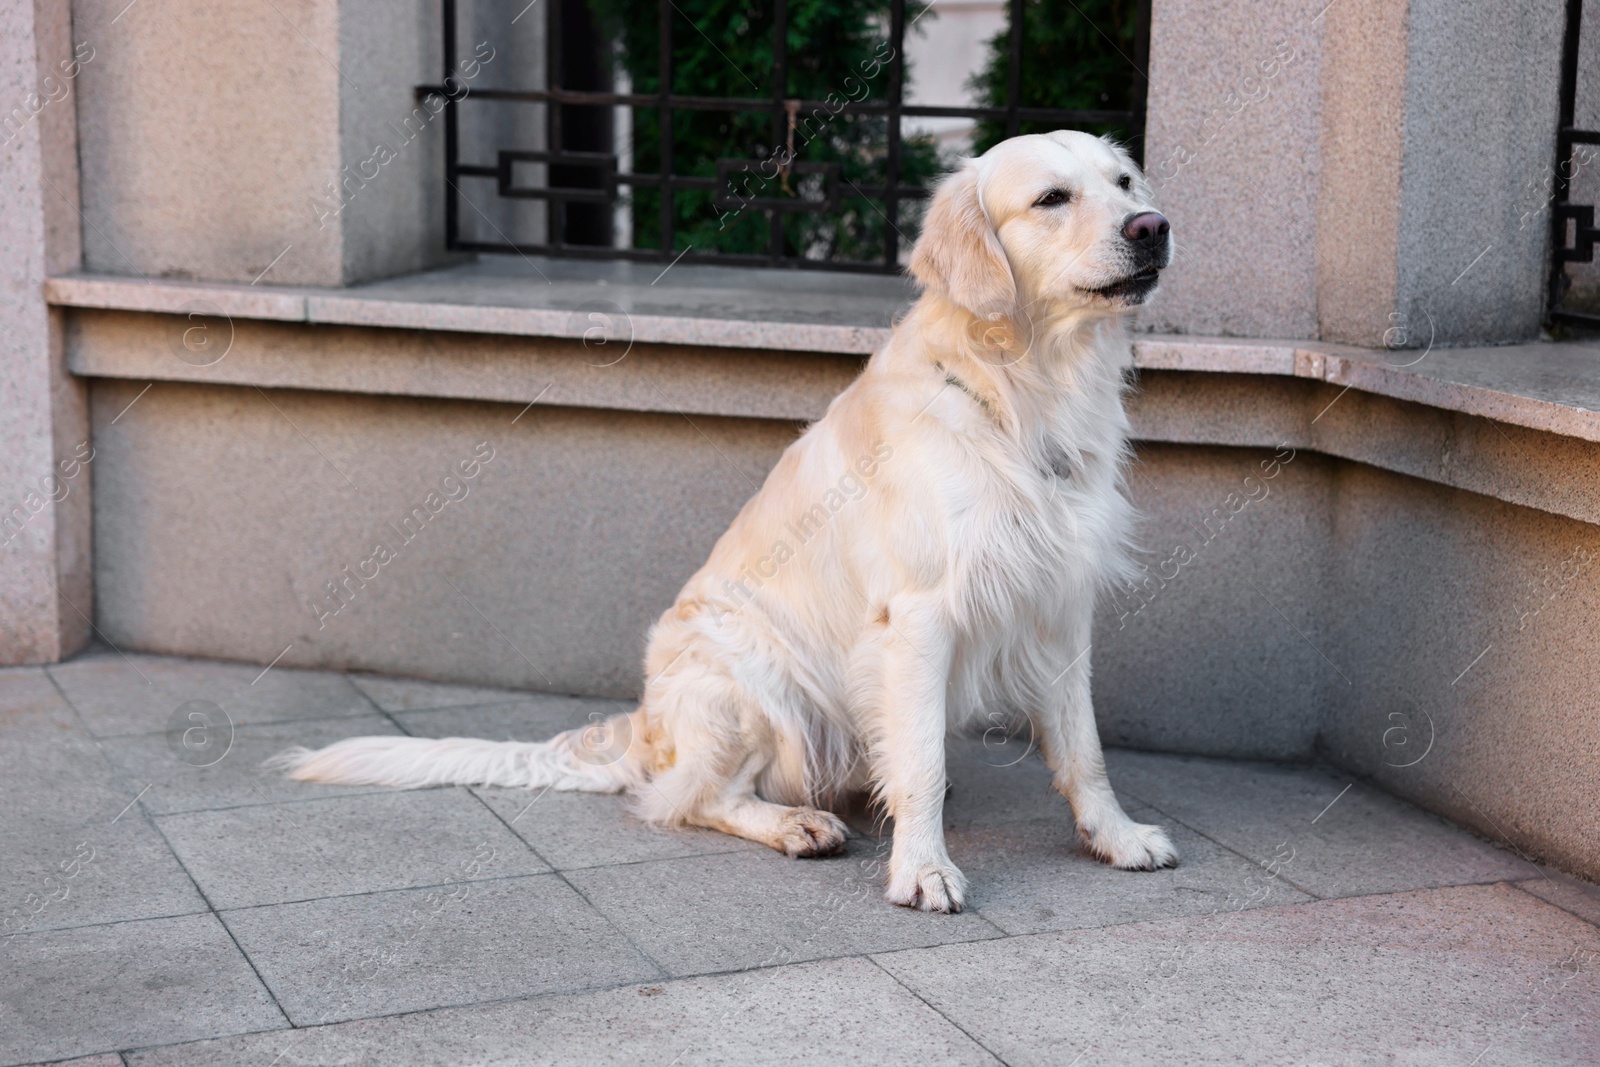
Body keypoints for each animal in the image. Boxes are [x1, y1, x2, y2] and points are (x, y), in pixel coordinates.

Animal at [278, 131, 1177, 921]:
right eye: (1052, 198)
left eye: (1124, 182)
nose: (1153, 228)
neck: (1023, 390)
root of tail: (644, 727)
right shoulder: (918, 614)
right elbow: (920, 761)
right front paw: (922, 869)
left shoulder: (1061, 604)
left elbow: (1084, 747)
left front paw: (1117, 836)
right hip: (747, 672)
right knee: (689, 797)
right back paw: (796, 823)